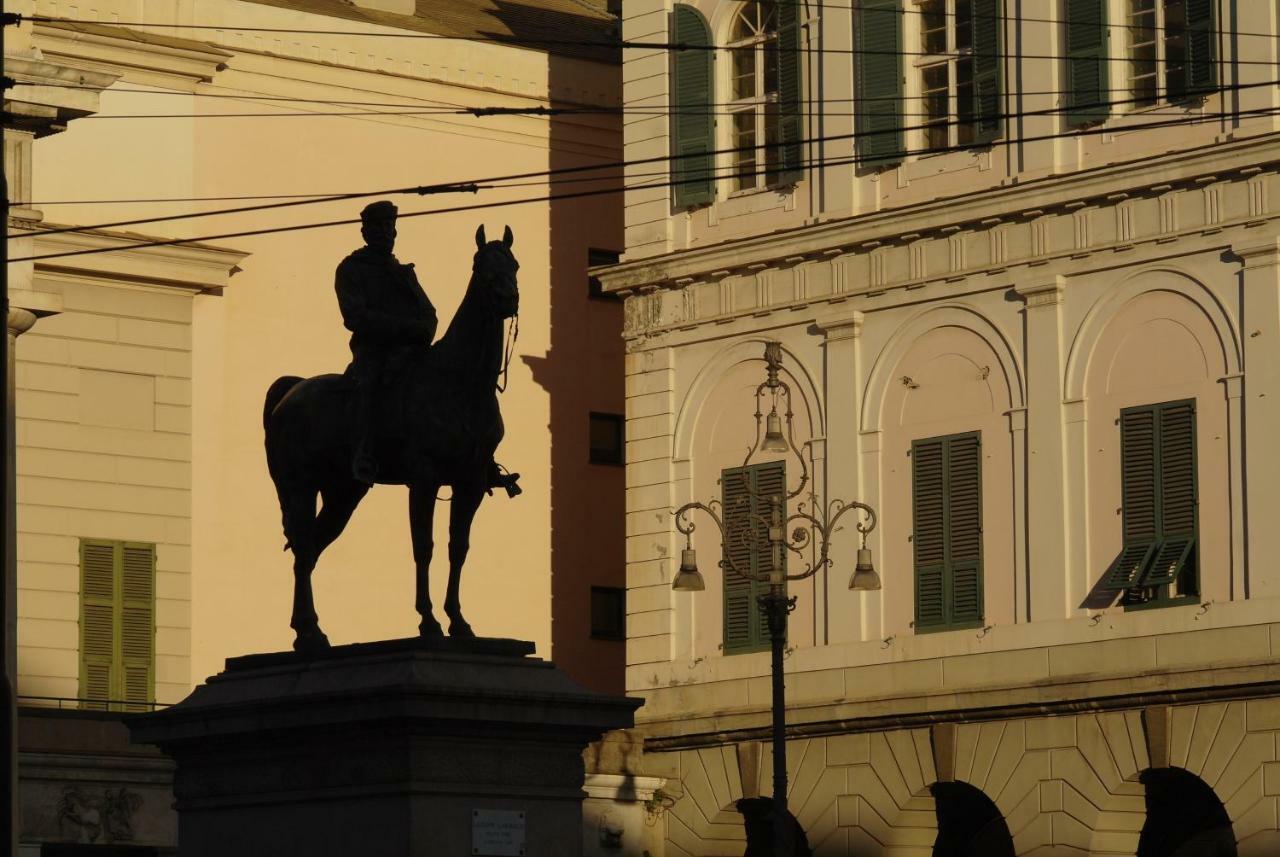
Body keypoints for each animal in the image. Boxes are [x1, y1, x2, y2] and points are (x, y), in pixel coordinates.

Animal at [259, 225, 519, 654]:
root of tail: (291, 392)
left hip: (343, 495)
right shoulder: (424, 481)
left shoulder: (470, 483)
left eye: (513, 264)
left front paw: (459, 622)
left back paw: (309, 633)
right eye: (482, 267)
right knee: (303, 547)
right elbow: (424, 547)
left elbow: (458, 547)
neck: (461, 384)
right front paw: (428, 622)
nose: (507, 299)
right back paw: (309, 631)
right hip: (300, 490)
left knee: (311, 549)